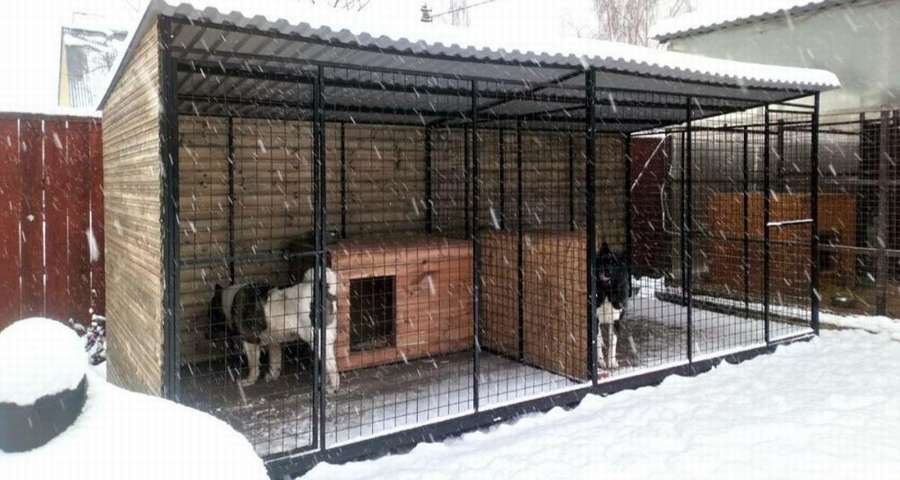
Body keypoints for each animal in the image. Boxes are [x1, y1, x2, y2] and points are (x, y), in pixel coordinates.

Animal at [207, 268, 342, 392]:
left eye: (210, 313)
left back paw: (332, 388)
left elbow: (253, 365)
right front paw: (272, 376)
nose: (205, 335)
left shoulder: (250, 341)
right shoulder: (274, 341)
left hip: (317, 339)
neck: (228, 302)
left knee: (332, 367)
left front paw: (250, 381)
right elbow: (275, 361)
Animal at [596, 242, 636, 370]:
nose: (605, 271)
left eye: (614, 263)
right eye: (603, 261)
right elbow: (596, 340)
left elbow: (613, 341)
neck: (607, 291)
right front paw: (601, 362)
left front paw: (612, 362)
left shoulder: (616, 319)